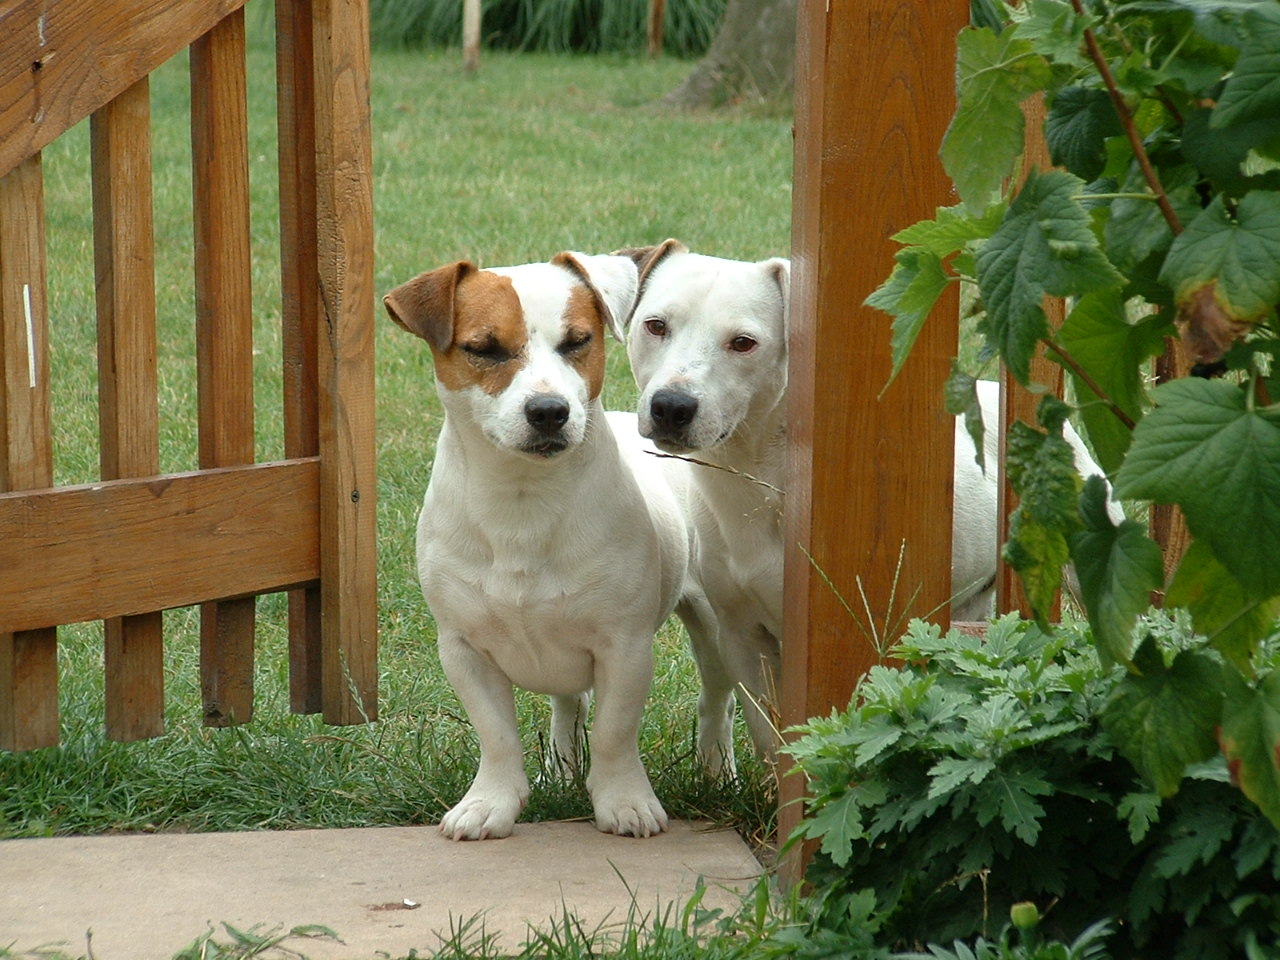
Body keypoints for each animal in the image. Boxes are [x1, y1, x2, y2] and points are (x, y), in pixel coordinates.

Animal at [381, 253, 691, 839]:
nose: (549, 410)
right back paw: (562, 770)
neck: (523, 504)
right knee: (568, 707)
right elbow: (497, 735)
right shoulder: (463, 649)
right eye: (484, 348)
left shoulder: (625, 647)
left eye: (577, 341)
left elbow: (616, 731)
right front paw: (490, 803)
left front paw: (624, 800)